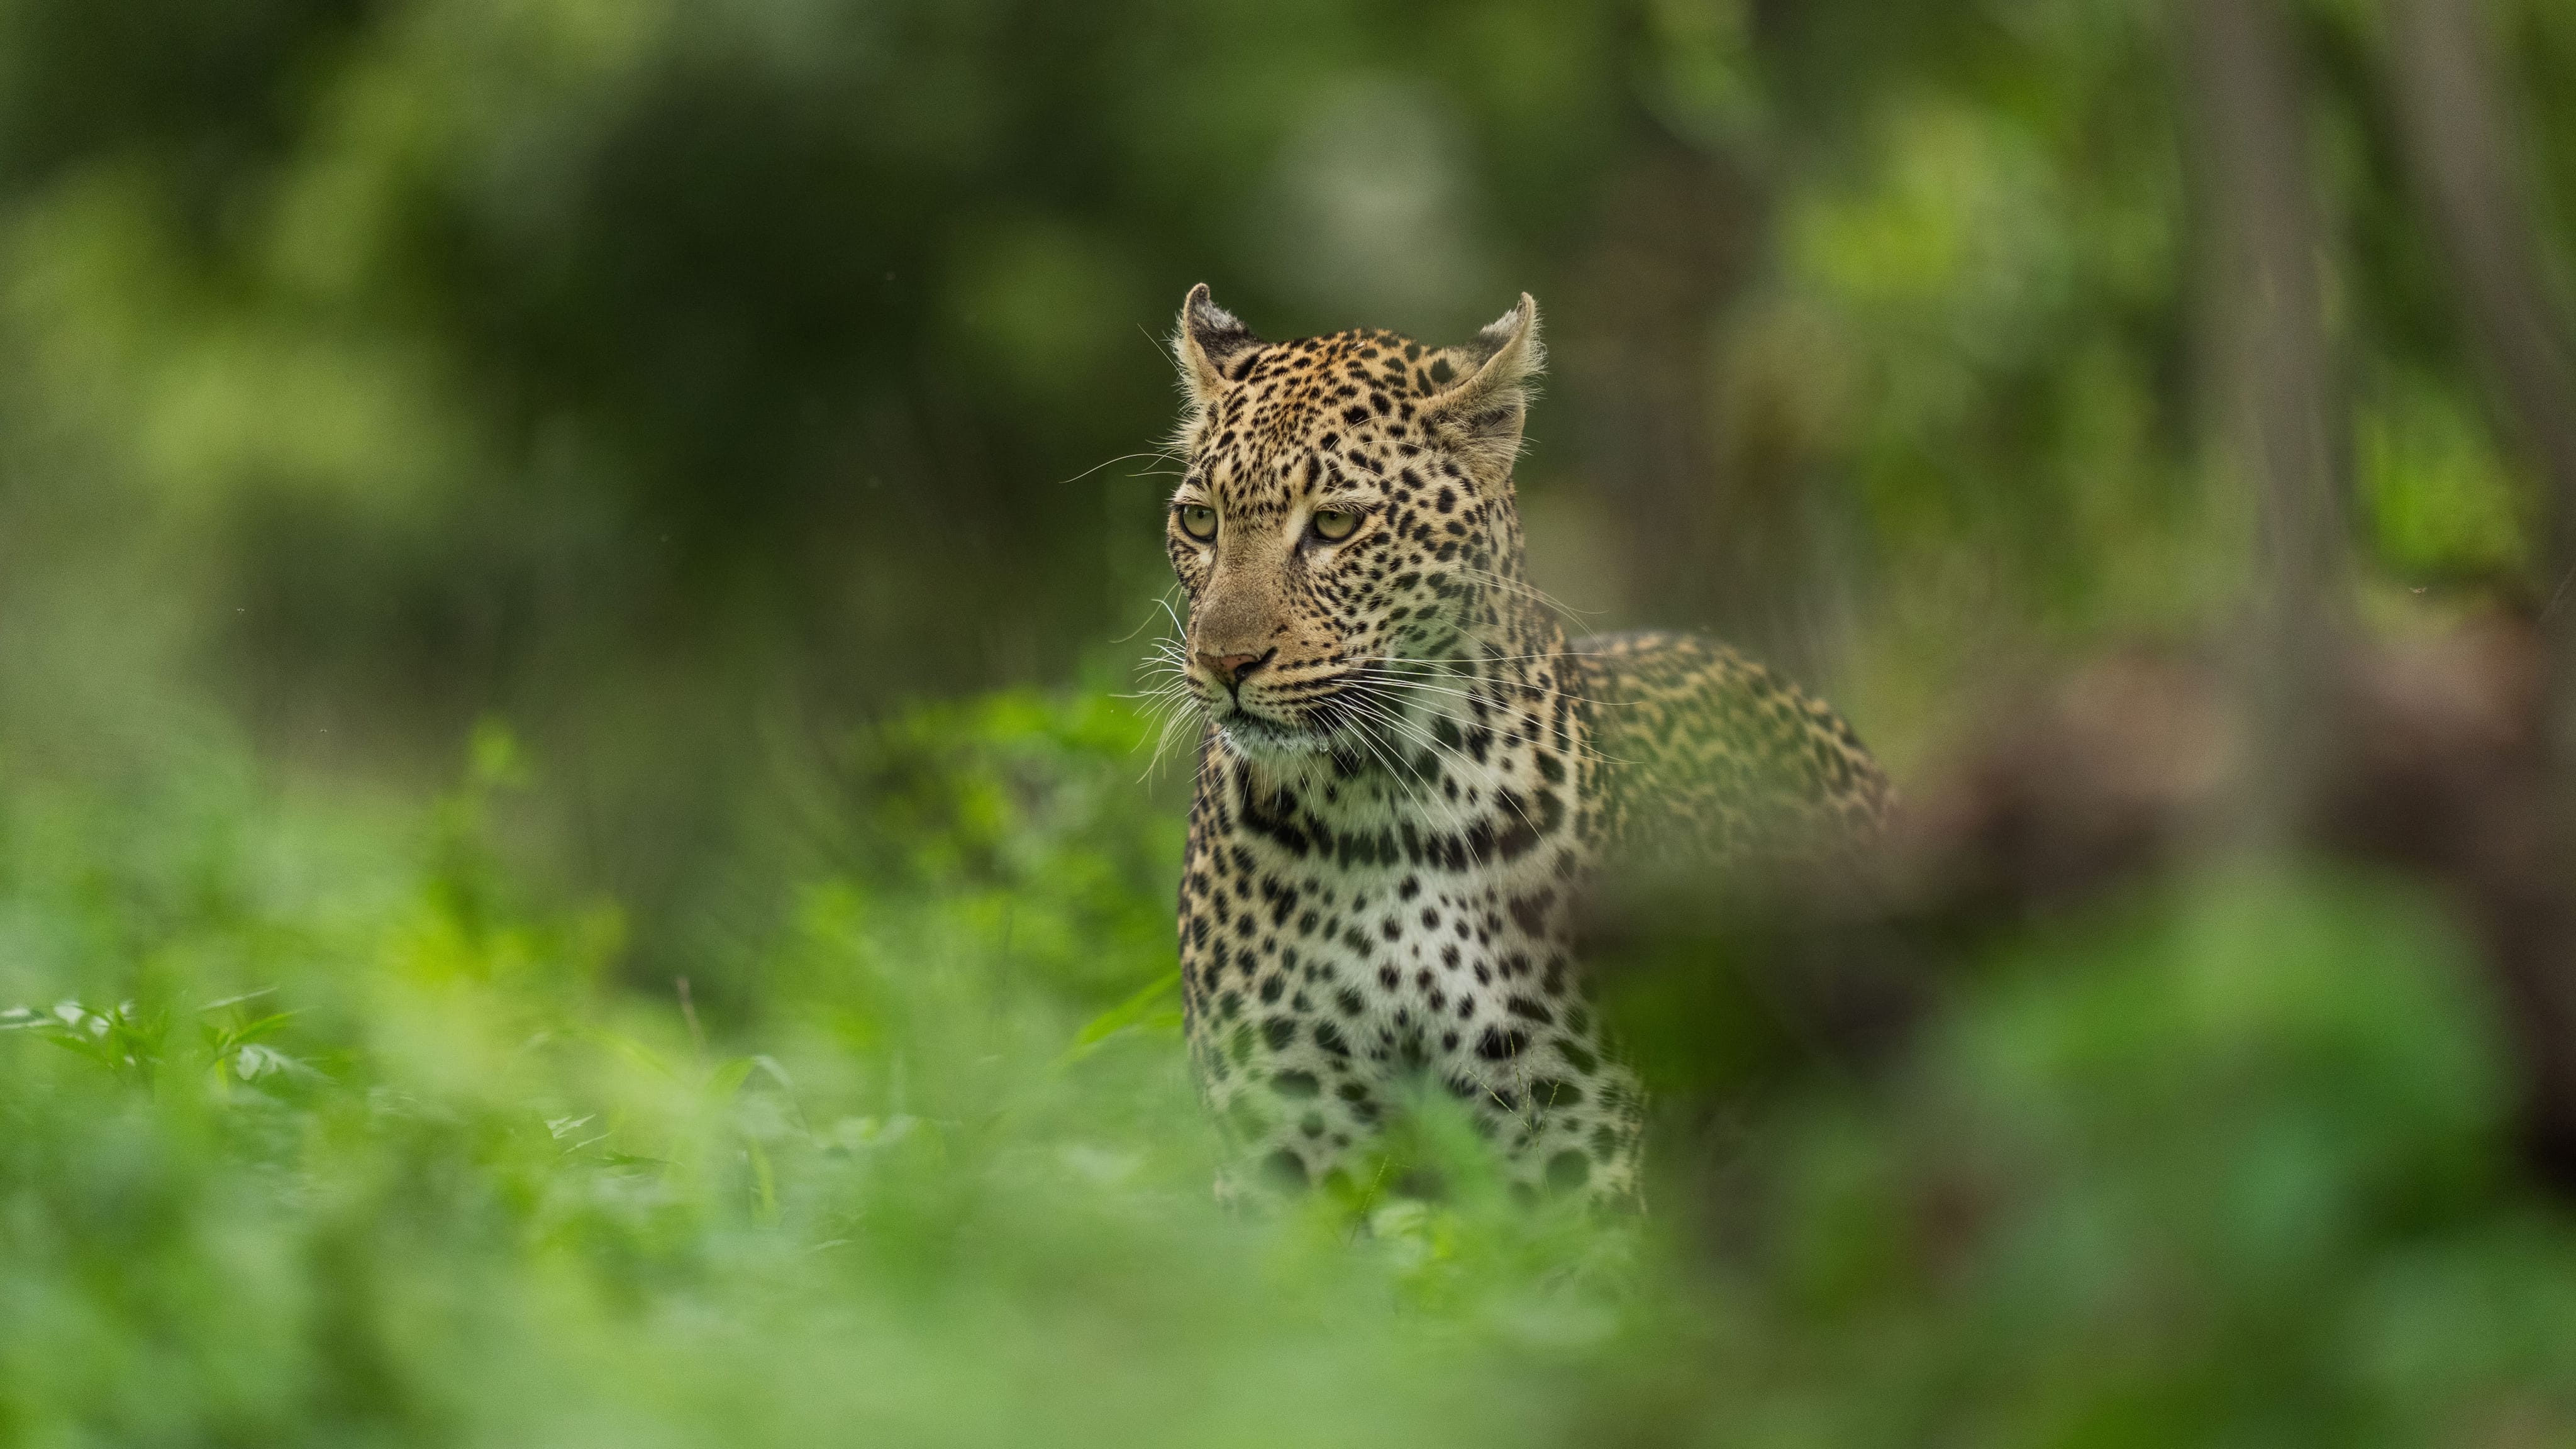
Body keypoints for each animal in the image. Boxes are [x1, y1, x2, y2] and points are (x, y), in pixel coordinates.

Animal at [1156, 285, 1890, 1208]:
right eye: (1198, 521)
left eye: (1332, 524)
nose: (1224, 662)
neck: (1377, 798)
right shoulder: (1280, 1148)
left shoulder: (1572, 1150)